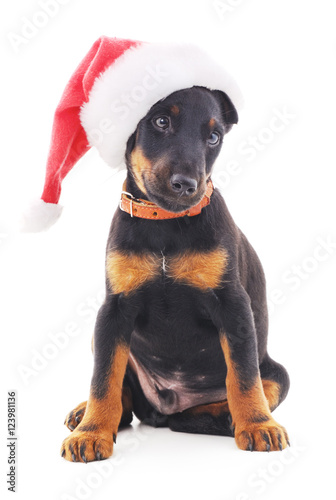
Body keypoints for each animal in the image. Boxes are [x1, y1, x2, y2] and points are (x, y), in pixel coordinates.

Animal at [61, 85, 290, 460]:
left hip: (275, 371)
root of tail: (164, 409)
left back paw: (227, 416)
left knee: (253, 386)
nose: (187, 184)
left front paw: (258, 426)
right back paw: (87, 414)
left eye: (213, 136)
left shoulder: (233, 305)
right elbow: (104, 378)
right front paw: (91, 433)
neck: (165, 224)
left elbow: (243, 377)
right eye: (161, 121)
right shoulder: (114, 309)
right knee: (124, 397)